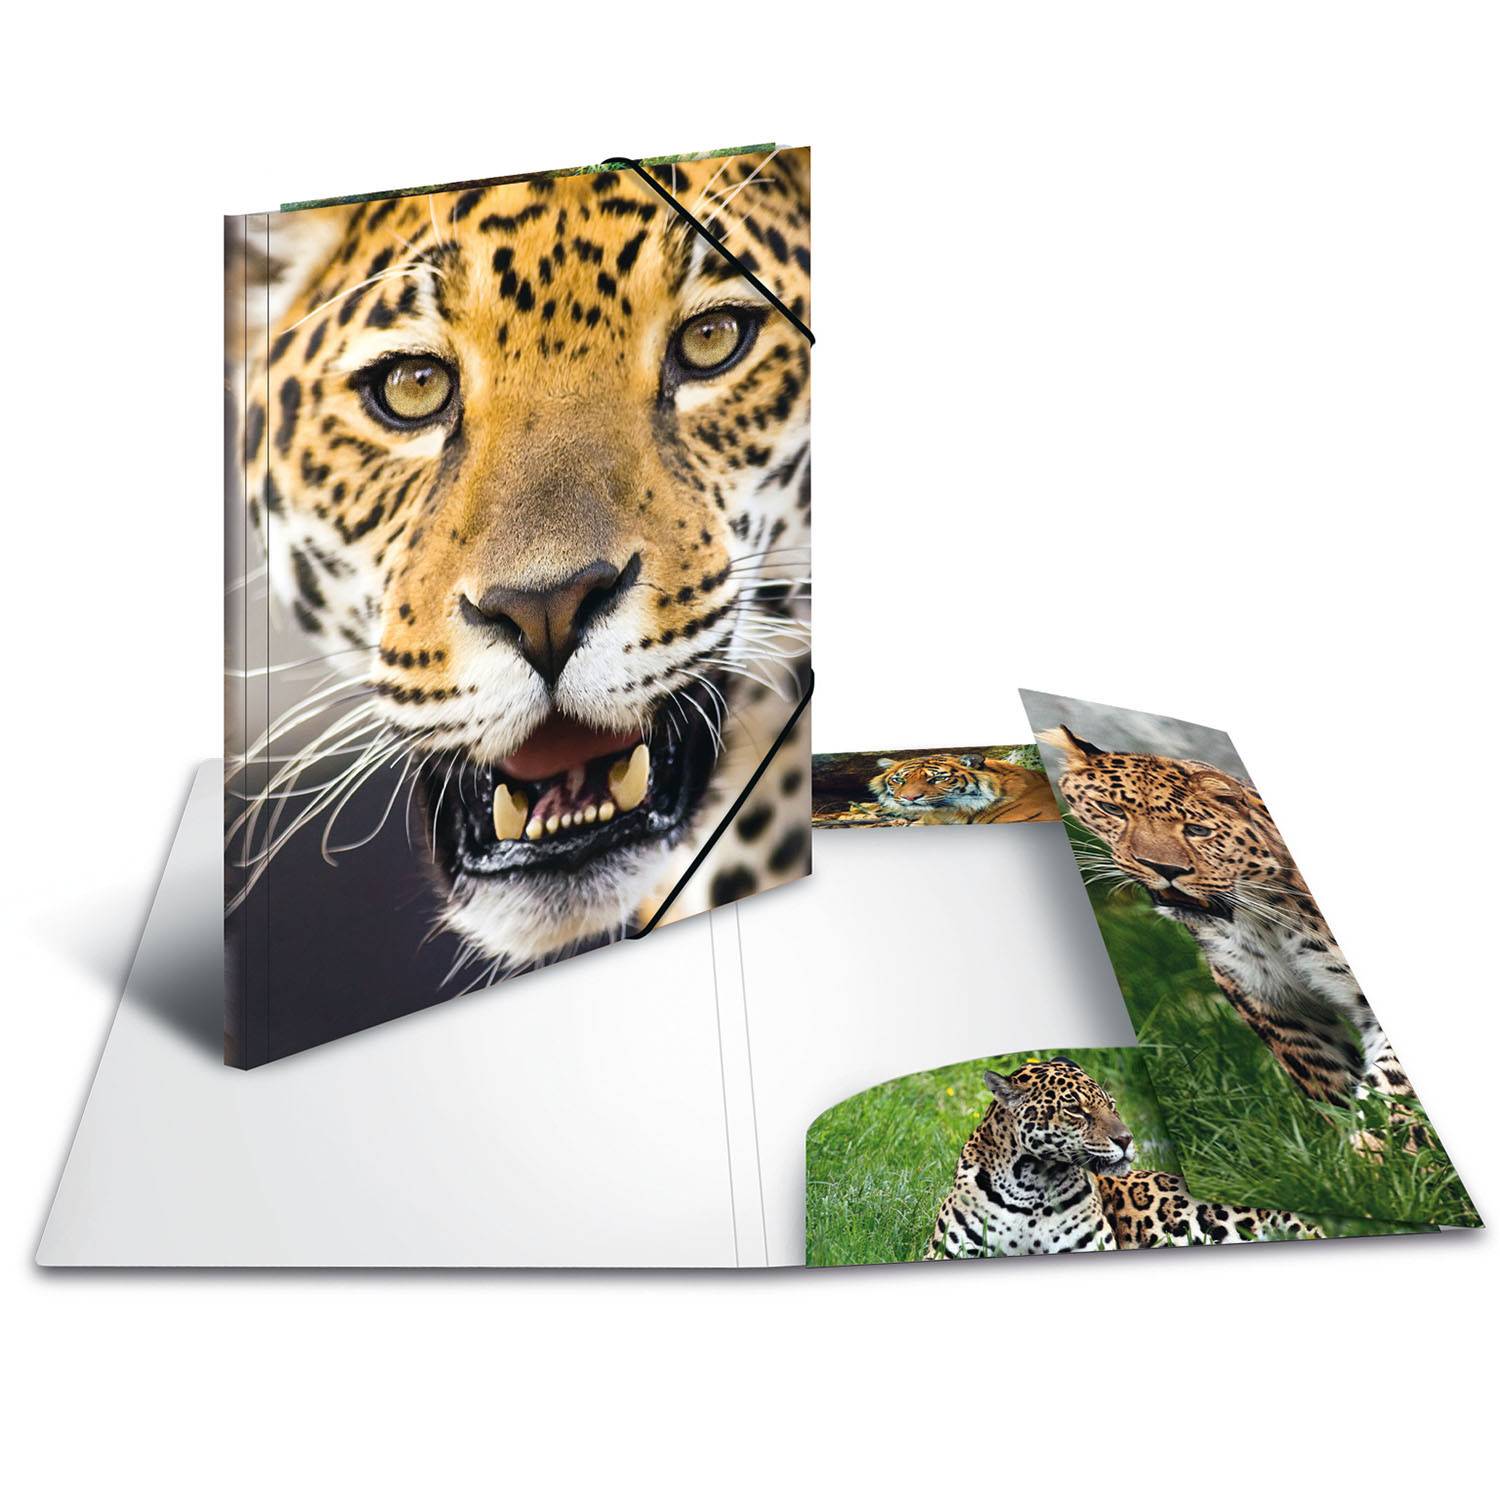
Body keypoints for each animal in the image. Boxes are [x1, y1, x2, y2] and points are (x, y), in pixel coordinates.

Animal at [1038, 726, 1417, 1126]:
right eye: (1112, 810)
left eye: (1197, 830)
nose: (1165, 869)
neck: (1265, 922)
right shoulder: (1271, 1000)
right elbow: (1325, 1076)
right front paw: (1351, 1137)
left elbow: (1393, 1082)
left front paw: (1381, 1139)